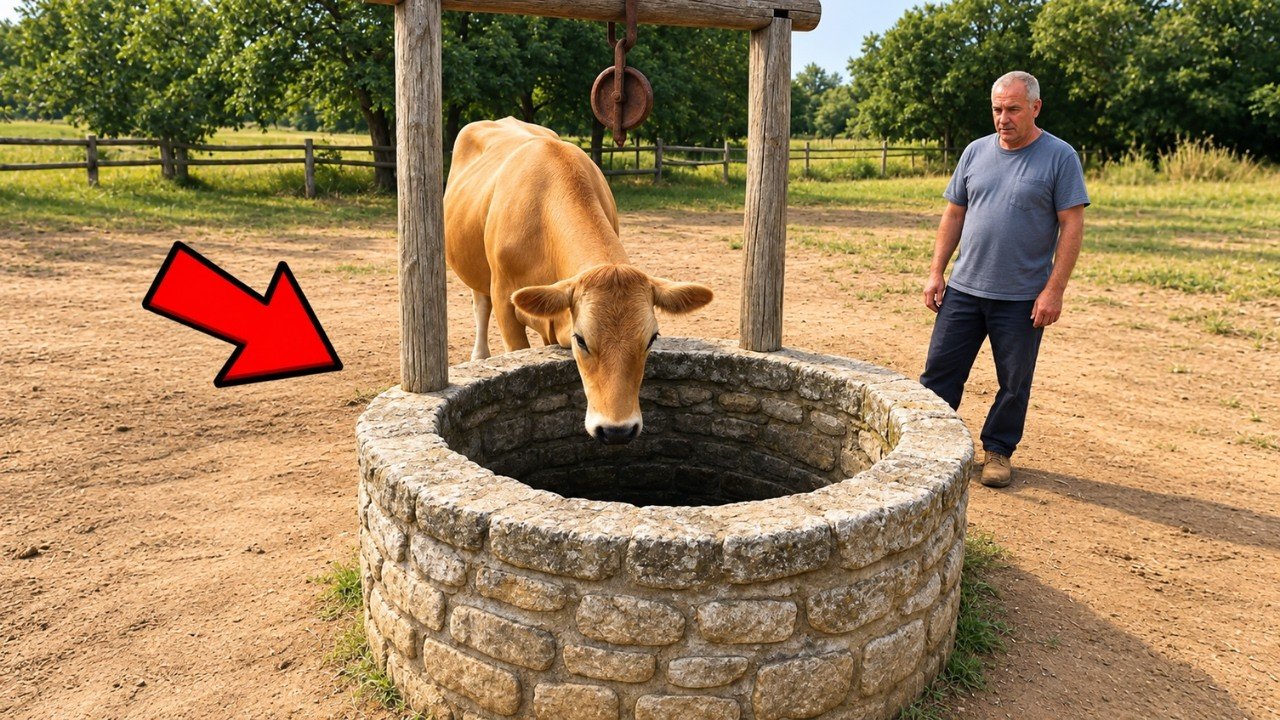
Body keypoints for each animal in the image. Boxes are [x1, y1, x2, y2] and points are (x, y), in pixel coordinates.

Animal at [444, 118, 713, 445]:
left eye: (652, 339)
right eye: (581, 339)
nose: (617, 430)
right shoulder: (505, 300)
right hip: (476, 272)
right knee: (480, 307)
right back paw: (479, 355)